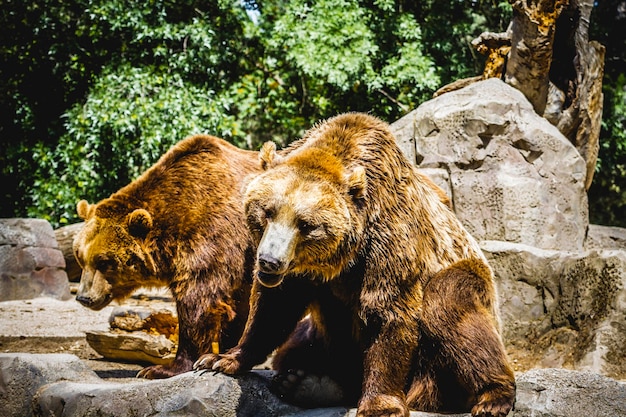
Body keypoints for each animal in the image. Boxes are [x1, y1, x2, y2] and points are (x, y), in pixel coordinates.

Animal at [74, 133, 260, 376]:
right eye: (80, 257)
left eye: (104, 261)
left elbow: (198, 301)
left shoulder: (213, 237)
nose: (84, 297)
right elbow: (237, 306)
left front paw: (161, 368)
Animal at [194, 112, 512, 414]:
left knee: (451, 303)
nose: (269, 261)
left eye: (306, 224)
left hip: (466, 294)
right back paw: (303, 382)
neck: (340, 258)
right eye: (267, 211)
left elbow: (386, 310)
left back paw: (493, 397)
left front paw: (381, 406)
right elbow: (274, 307)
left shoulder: (387, 238)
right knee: (296, 348)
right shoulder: (304, 272)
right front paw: (220, 359)